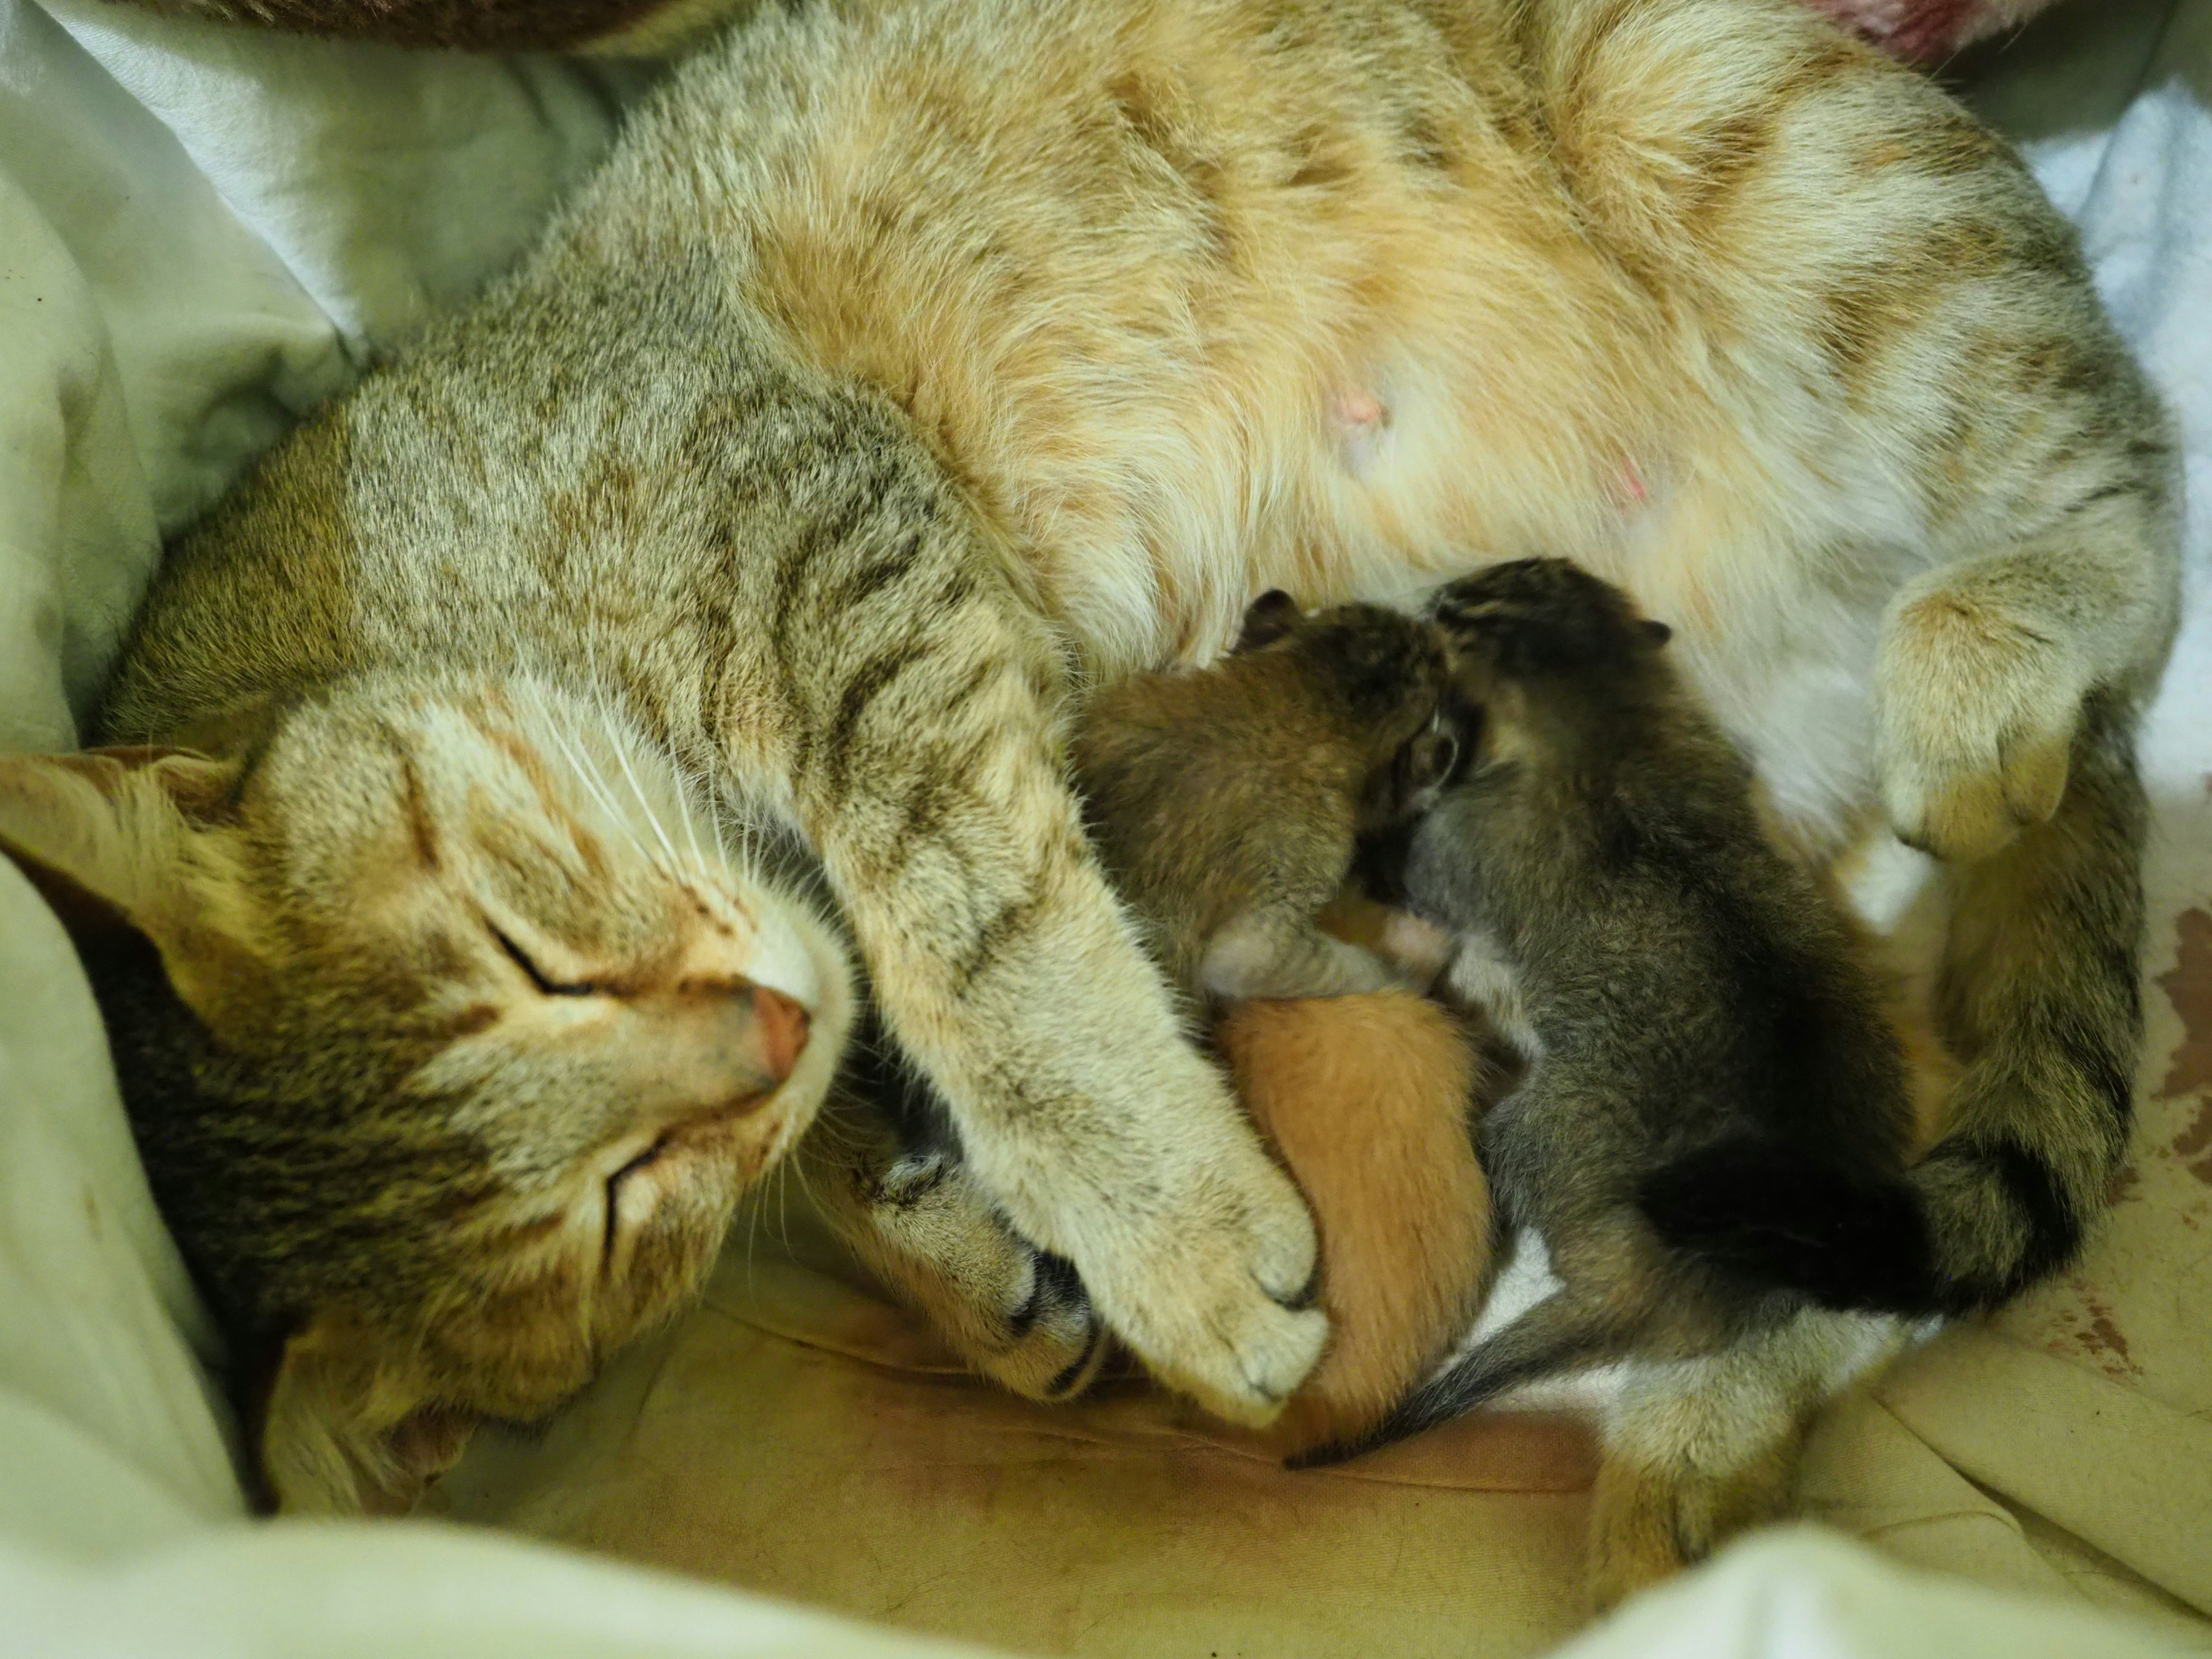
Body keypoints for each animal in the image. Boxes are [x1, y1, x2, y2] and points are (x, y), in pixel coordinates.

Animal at [0, 0, 2176, 1601]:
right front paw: (966, 1254)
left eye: (527, 948)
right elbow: (877, 1094)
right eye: (627, 1215)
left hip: (1772, 150)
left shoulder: (826, 547)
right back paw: (1696, 1437)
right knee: (1847, 1223)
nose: (758, 1023)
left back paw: (1990, 651)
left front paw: (1162, 1228)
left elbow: (981, 947)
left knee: (2126, 506)